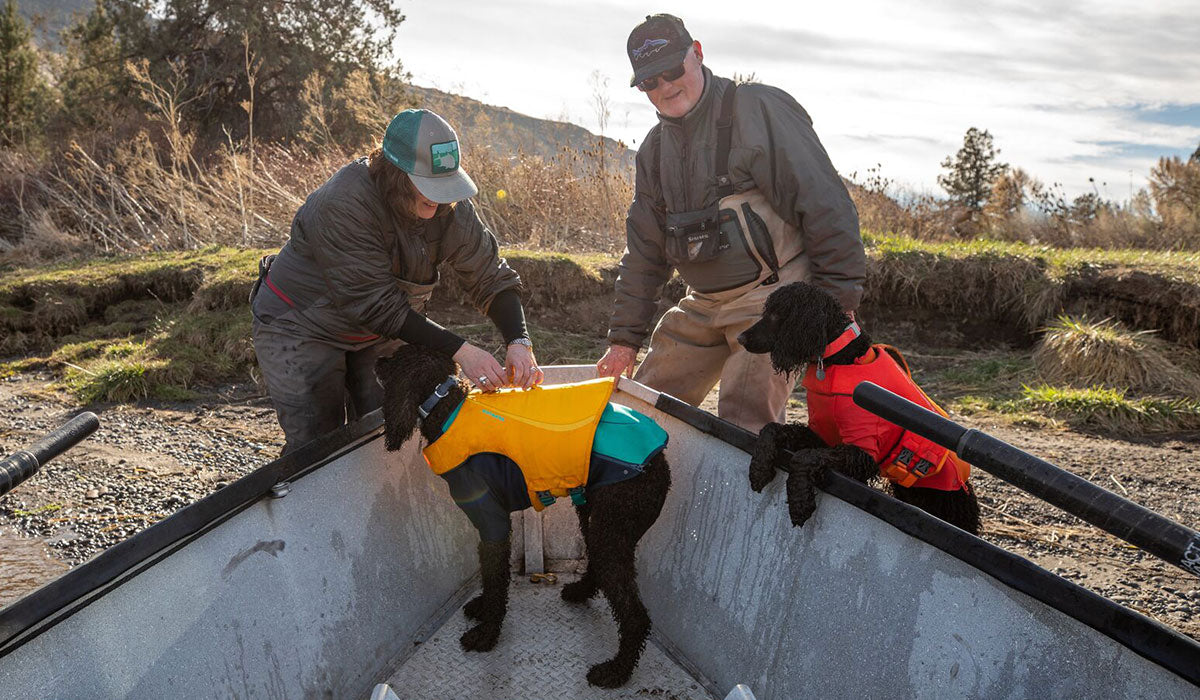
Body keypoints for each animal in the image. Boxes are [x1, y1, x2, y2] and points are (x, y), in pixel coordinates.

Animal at [374, 345, 672, 691]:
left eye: (396, 358)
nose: (377, 360)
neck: (447, 408)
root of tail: (659, 459)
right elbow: (491, 577)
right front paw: (482, 609)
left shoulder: (492, 522)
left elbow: (495, 579)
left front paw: (486, 634)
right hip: (594, 516)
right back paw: (579, 593)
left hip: (613, 525)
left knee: (634, 615)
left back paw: (616, 671)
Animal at [734, 282, 979, 533]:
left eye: (776, 315)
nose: (740, 338)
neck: (840, 359)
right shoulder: (822, 435)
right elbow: (772, 429)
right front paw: (759, 469)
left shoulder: (863, 452)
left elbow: (804, 457)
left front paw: (800, 502)